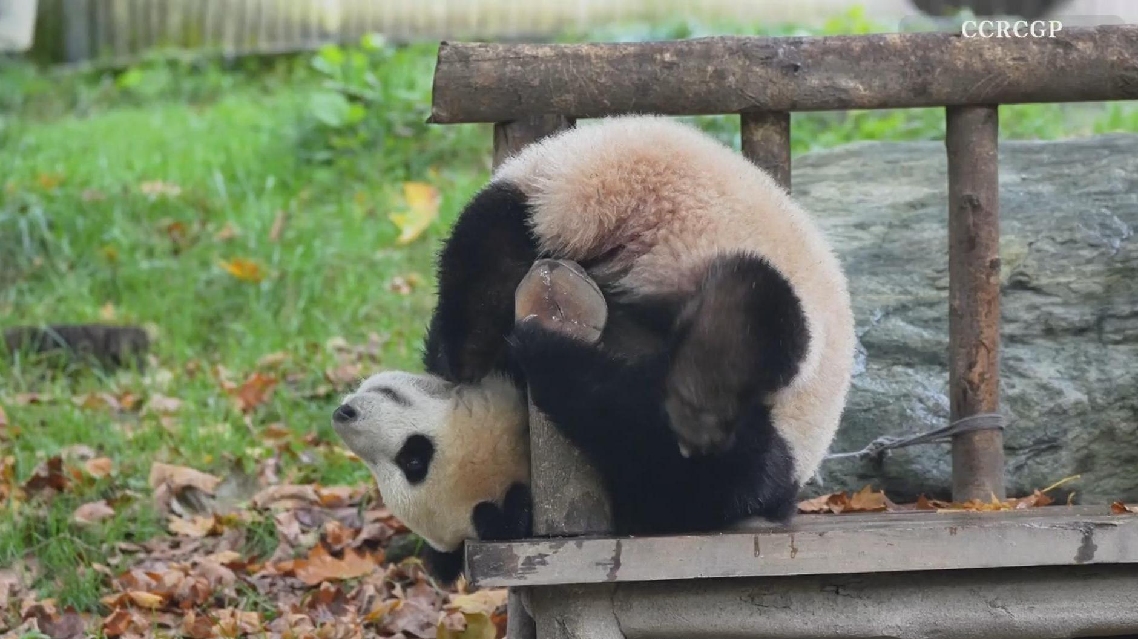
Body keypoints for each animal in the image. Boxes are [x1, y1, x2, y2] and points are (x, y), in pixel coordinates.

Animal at [332, 114, 856, 585]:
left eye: (413, 459)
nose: (343, 414)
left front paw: (535, 350)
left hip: (617, 193)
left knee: (755, 302)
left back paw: (700, 397)